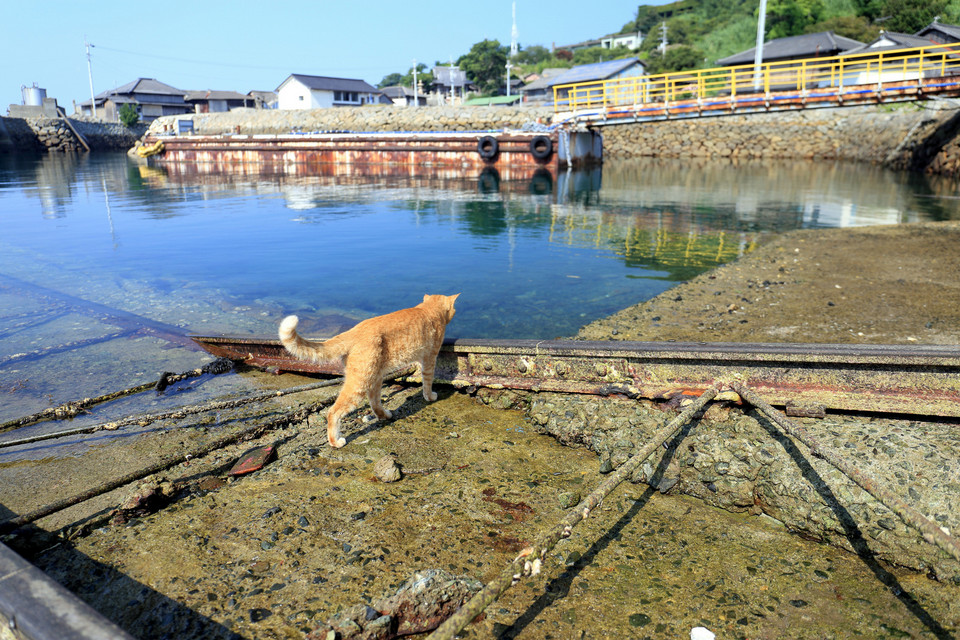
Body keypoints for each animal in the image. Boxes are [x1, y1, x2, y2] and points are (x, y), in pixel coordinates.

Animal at [280, 294, 460, 448]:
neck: (429, 309)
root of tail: (352, 331)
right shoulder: (430, 359)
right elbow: (427, 382)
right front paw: (430, 397)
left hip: (375, 377)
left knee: (375, 404)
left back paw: (385, 415)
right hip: (359, 383)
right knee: (333, 412)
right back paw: (335, 441)